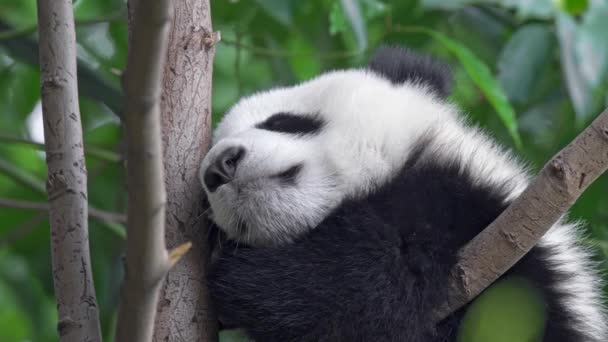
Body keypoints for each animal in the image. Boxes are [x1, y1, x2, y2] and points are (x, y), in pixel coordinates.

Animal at [198, 46, 604, 340]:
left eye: (282, 121)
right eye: (203, 195)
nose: (217, 169)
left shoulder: (482, 228)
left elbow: (369, 282)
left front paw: (248, 276)